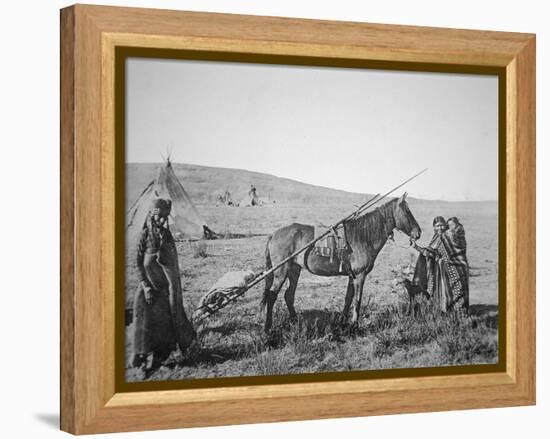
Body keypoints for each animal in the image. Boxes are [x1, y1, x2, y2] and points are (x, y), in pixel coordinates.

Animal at [262, 193, 422, 334]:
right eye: (407, 211)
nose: (418, 232)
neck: (363, 236)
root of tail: (274, 234)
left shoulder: (352, 276)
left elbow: (348, 298)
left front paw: (343, 321)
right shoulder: (360, 275)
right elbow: (357, 300)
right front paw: (355, 325)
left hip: (294, 270)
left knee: (289, 295)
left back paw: (295, 321)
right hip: (281, 271)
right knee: (272, 295)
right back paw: (268, 328)